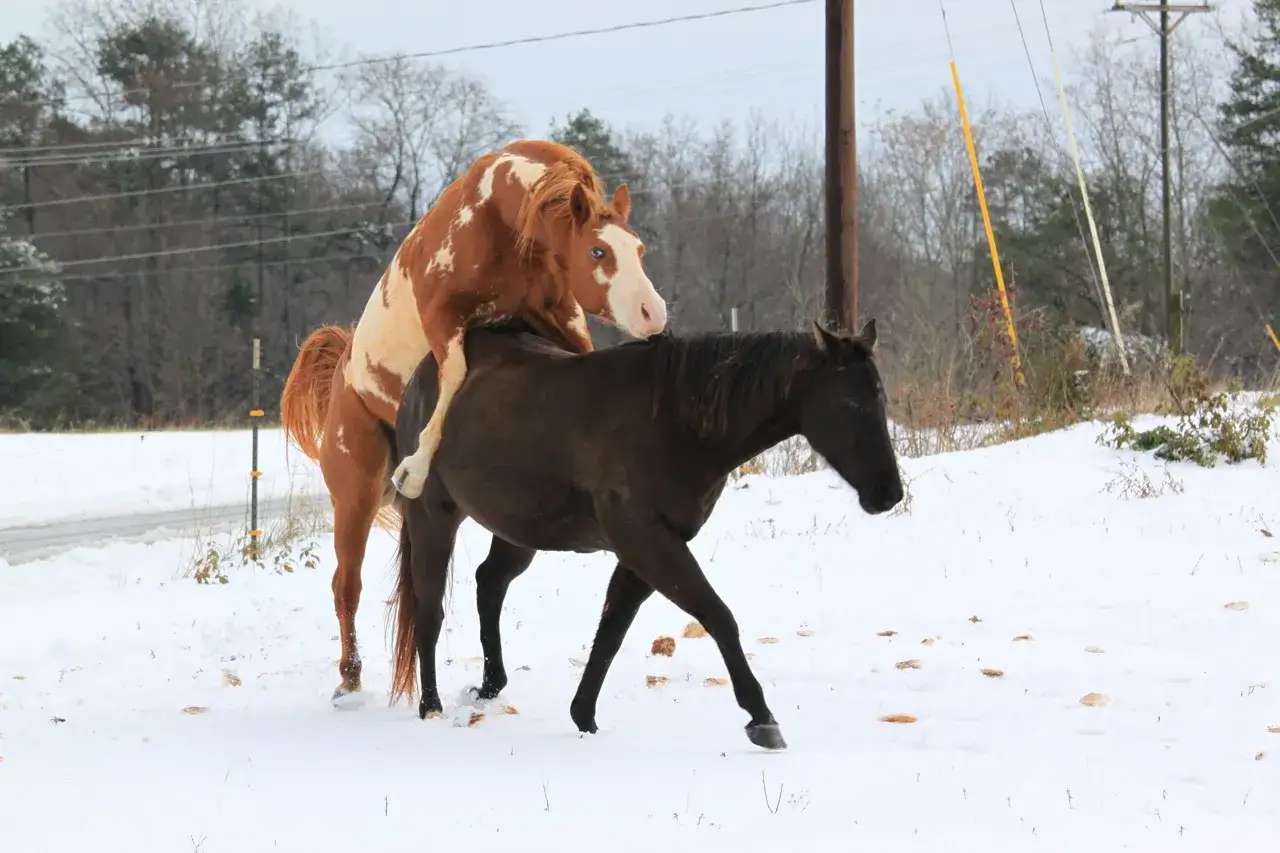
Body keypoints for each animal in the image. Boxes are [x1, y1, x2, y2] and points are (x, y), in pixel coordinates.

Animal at [279, 139, 668, 704]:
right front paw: (418, 466)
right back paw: (349, 677)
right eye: (598, 252)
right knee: (345, 586)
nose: (652, 314)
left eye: (638, 250)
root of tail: (341, 380)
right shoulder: (444, 322)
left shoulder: (560, 318)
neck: (499, 217)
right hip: (355, 496)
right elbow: (456, 372)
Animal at [386, 316, 903, 750]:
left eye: (881, 398)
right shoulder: (648, 543)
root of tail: (422, 377)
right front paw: (761, 717)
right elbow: (718, 617)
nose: (889, 493)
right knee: (429, 609)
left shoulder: (646, 550)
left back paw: (491, 684)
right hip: (433, 517)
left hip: (517, 530)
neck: (674, 422)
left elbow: (612, 630)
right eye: (850, 402)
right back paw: (430, 707)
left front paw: (584, 716)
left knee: (489, 583)